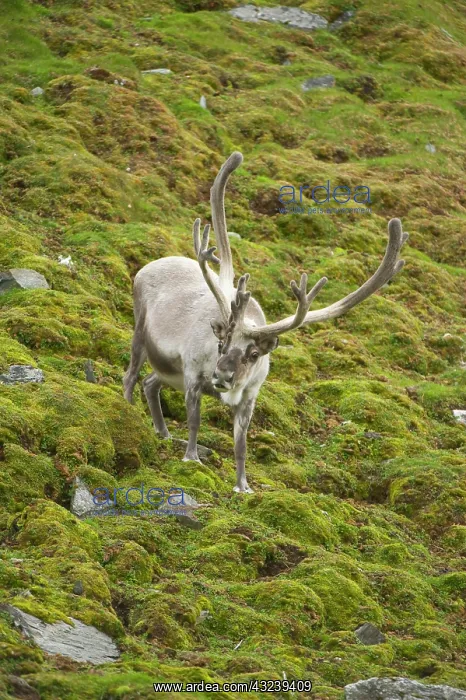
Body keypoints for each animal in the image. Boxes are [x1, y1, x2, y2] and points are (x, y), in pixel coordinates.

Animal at [123, 151, 407, 493]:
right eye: (222, 343)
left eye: (255, 353)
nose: (221, 376)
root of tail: (146, 267)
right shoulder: (193, 376)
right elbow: (194, 421)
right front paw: (191, 458)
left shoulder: (250, 397)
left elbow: (241, 444)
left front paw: (243, 486)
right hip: (141, 334)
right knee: (131, 377)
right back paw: (128, 411)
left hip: (167, 370)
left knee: (151, 383)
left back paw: (164, 434)